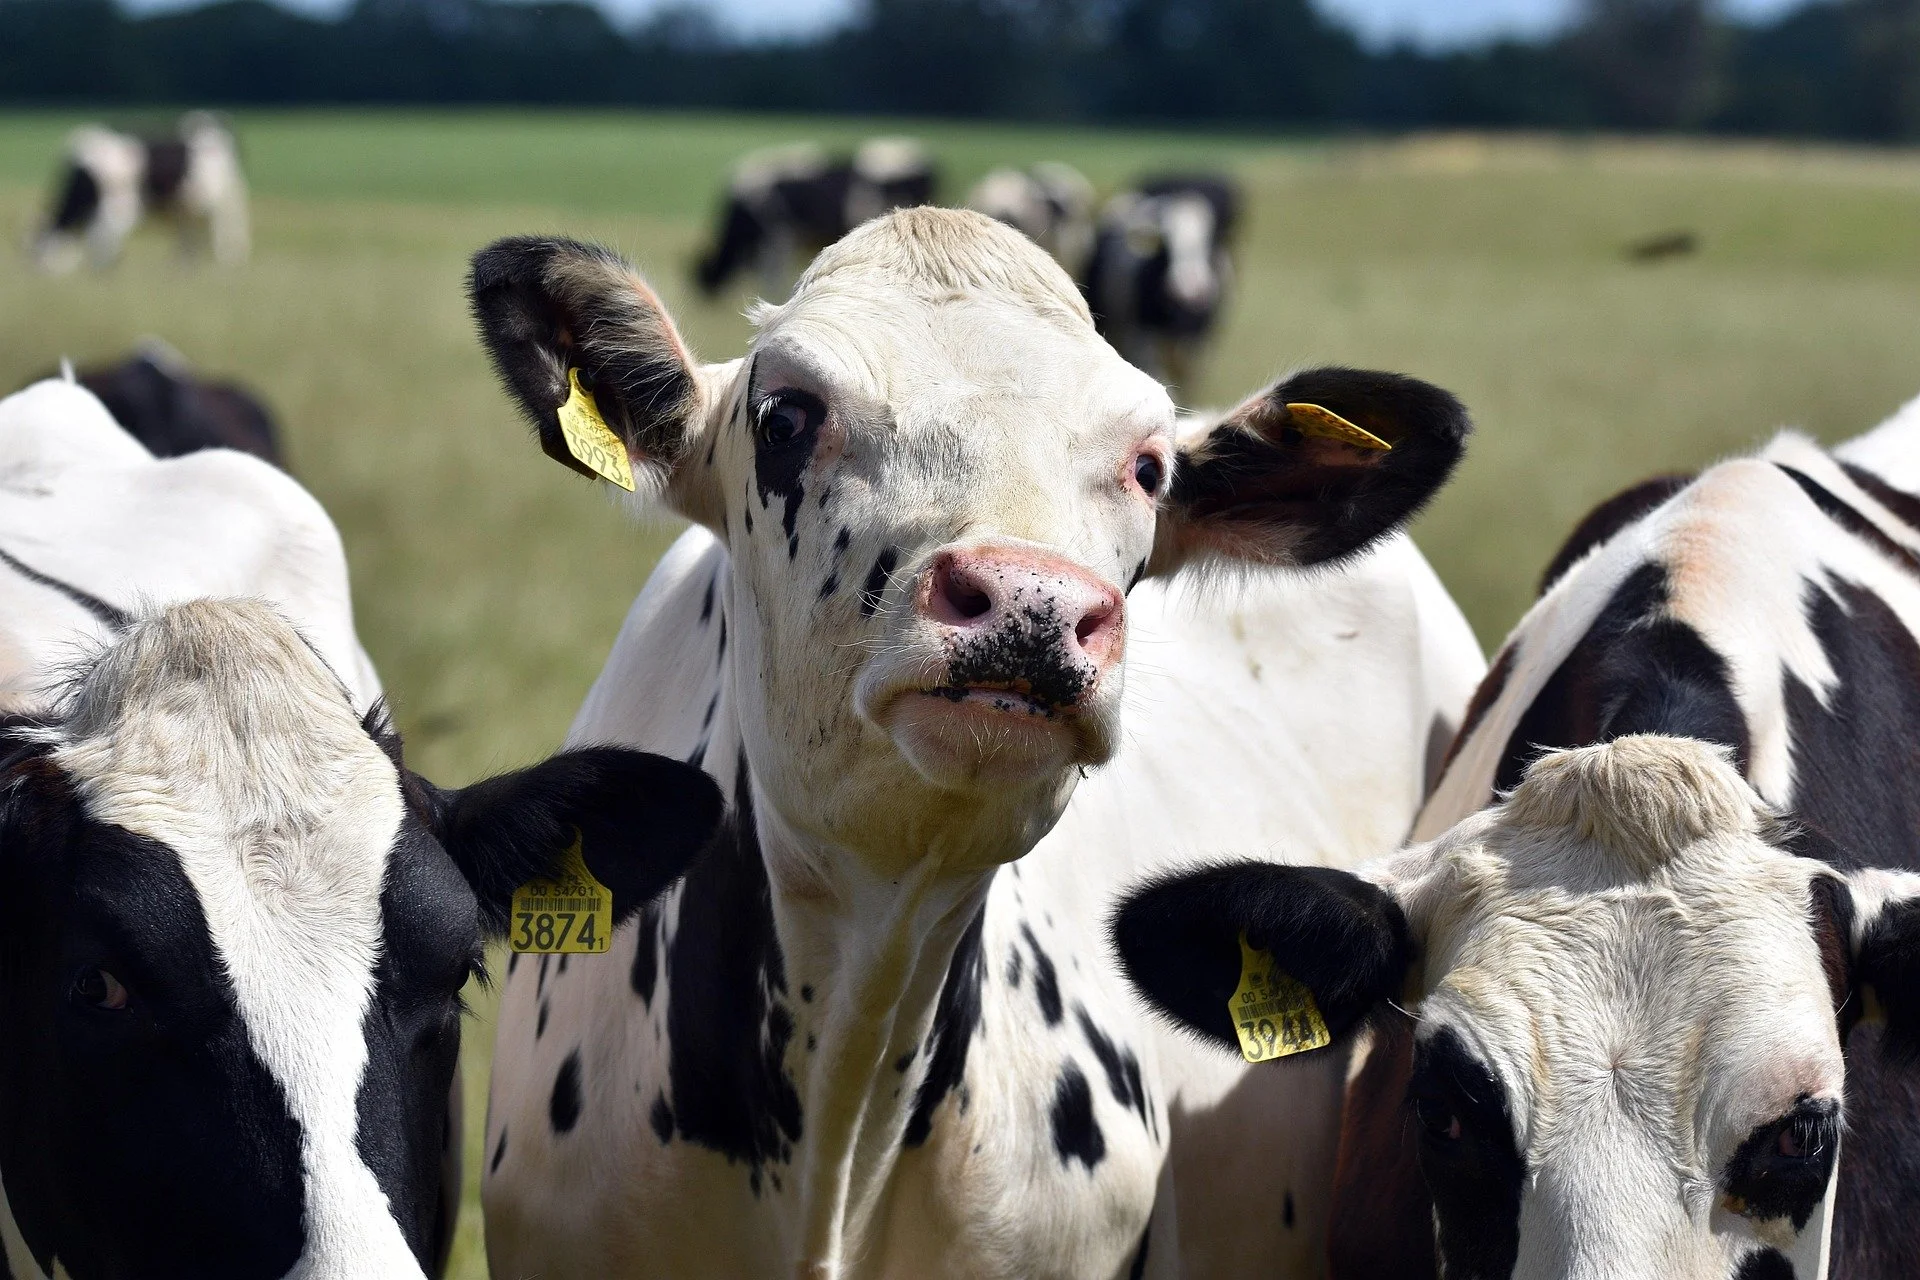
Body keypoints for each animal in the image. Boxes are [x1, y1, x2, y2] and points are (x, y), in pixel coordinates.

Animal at [32, 113, 249, 274]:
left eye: (37, 249)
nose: (35, 274)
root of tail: (211, 132)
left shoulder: (119, 207)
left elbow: (103, 237)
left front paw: (104, 271)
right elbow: (102, 237)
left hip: (225, 202)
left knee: (227, 230)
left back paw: (226, 262)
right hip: (188, 206)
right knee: (190, 236)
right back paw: (183, 266)